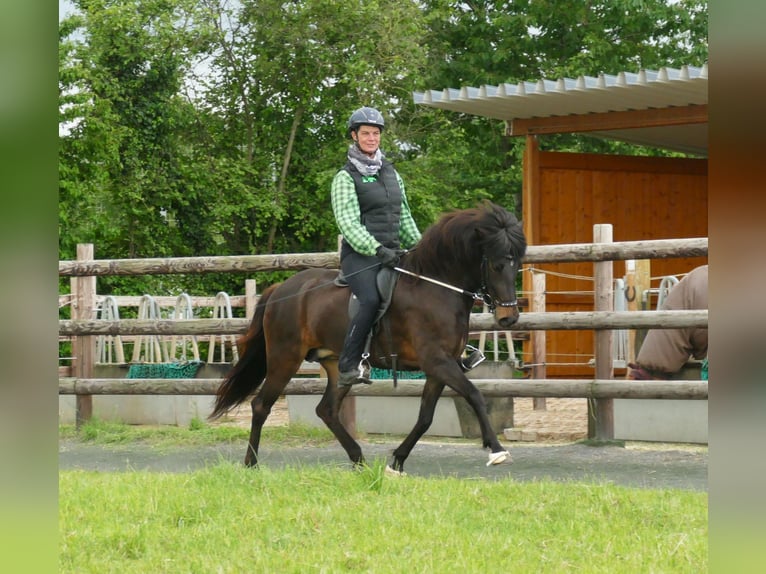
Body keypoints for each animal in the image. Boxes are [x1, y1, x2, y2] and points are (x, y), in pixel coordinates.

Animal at [213, 200, 532, 474]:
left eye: (517, 263)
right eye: (496, 264)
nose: (509, 318)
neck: (434, 287)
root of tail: (281, 289)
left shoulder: (439, 368)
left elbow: (425, 418)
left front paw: (397, 461)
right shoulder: (438, 362)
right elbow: (475, 396)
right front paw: (496, 449)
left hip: (336, 365)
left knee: (327, 410)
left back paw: (360, 461)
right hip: (284, 358)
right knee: (261, 405)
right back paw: (251, 464)